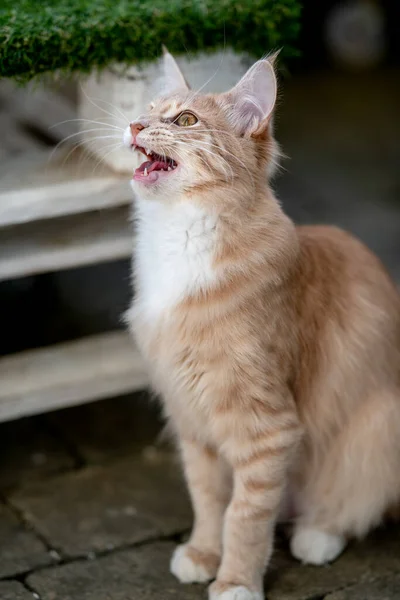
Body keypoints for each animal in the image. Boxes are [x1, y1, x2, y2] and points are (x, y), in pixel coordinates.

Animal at [123, 48, 400, 600]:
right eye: (148, 111)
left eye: (185, 121)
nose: (135, 125)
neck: (179, 242)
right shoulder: (194, 421)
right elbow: (209, 501)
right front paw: (204, 554)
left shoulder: (266, 427)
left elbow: (245, 515)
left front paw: (236, 581)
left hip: (381, 422)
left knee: (349, 502)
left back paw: (317, 536)